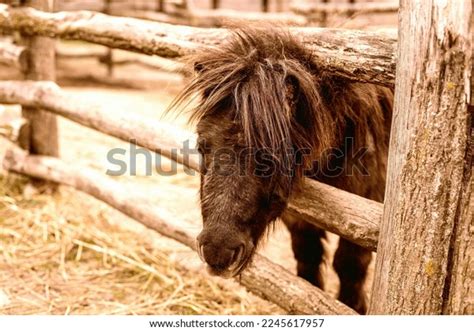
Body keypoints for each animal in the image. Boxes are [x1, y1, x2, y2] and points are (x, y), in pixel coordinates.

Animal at [170, 27, 392, 314]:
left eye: (271, 155)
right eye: (202, 145)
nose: (217, 251)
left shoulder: (368, 207)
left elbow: (350, 267)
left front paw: (355, 306)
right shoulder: (298, 218)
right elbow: (307, 259)